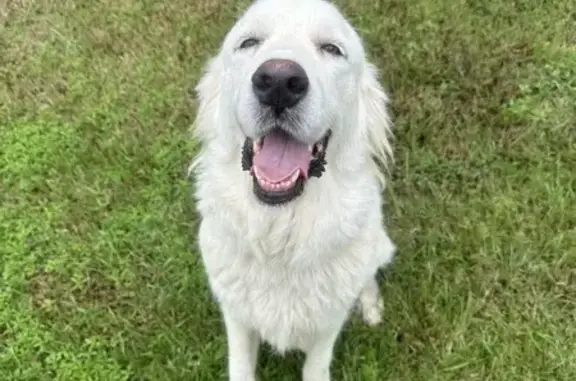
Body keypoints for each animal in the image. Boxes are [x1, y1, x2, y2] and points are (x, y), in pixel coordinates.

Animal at [191, 0, 398, 378]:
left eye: (331, 49)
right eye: (249, 42)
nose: (278, 82)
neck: (279, 238)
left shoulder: (327, 327)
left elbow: (316, 367)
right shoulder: (237, 319)